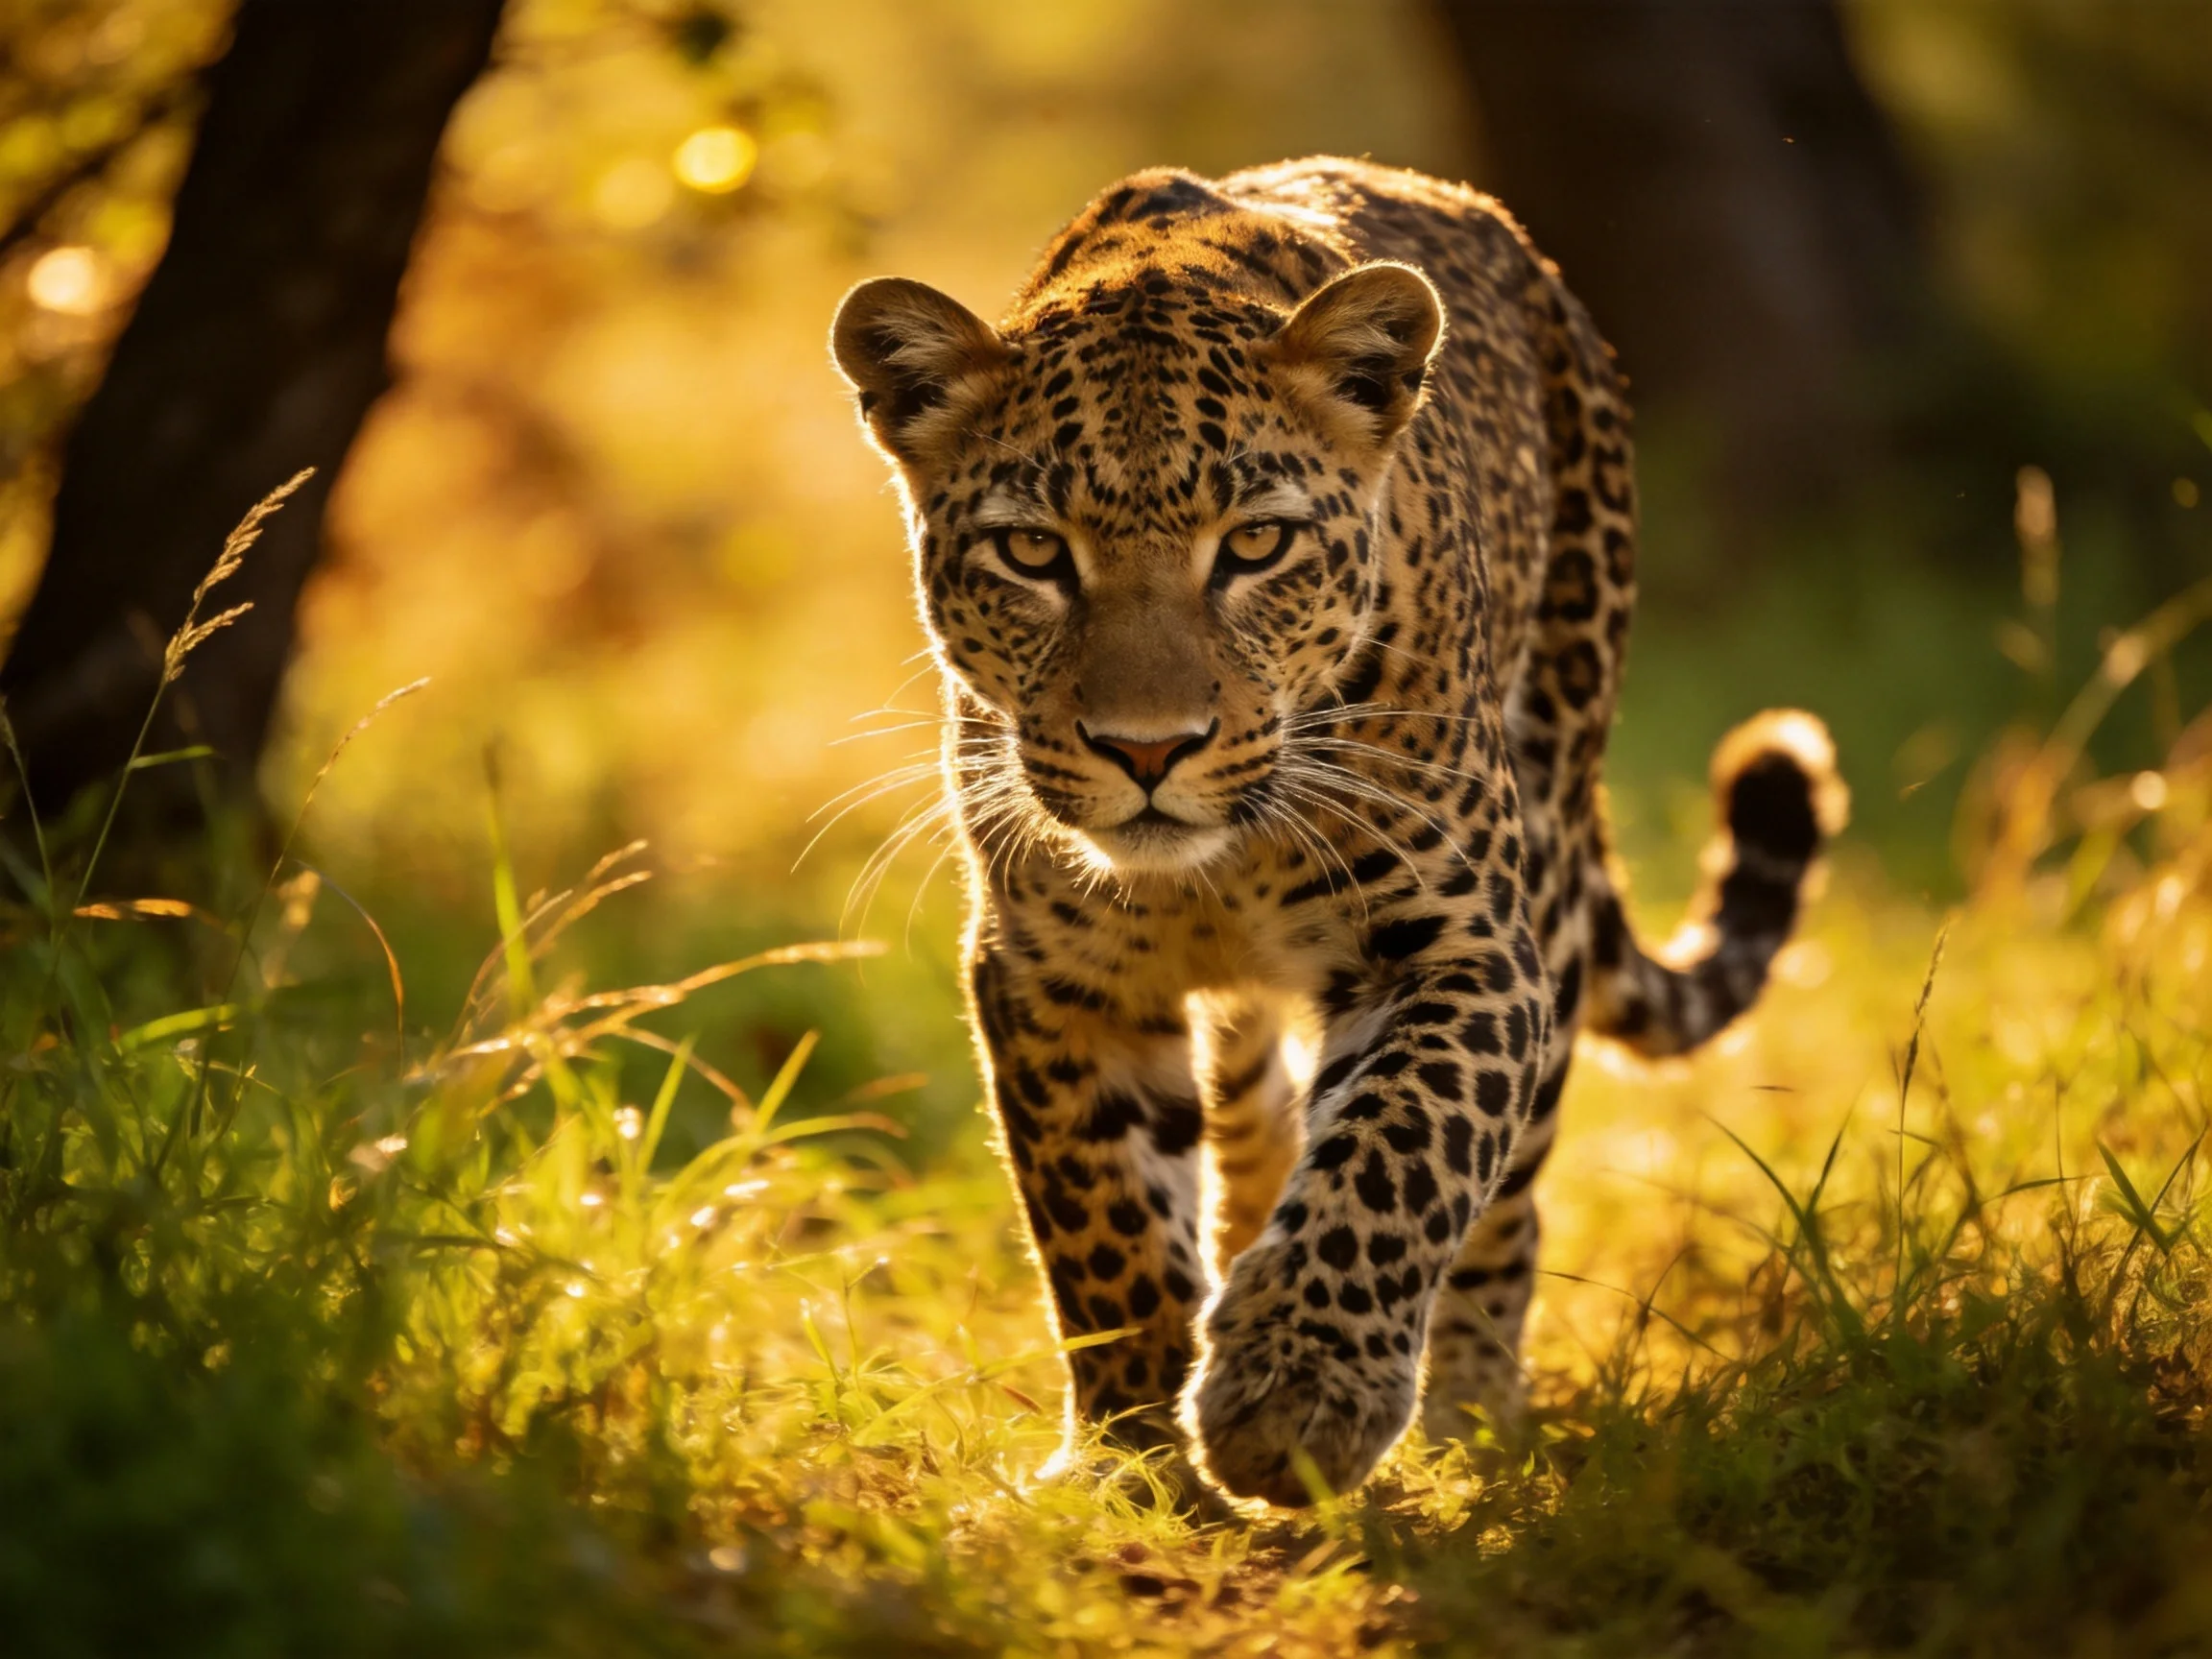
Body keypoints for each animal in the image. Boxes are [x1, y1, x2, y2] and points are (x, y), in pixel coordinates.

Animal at [829, 157, 1846, 1508]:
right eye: (1033, 551)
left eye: (1256, 543)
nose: (1147, 750)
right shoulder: (1053, 975)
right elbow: (1103, 1218)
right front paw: (1134, 1453)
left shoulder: (1460, 946)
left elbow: (1398, 1152)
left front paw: (1296, 1397)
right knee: (1252, 1115)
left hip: (1555, 846)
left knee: (1505, 1197)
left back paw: (1471, 1415)